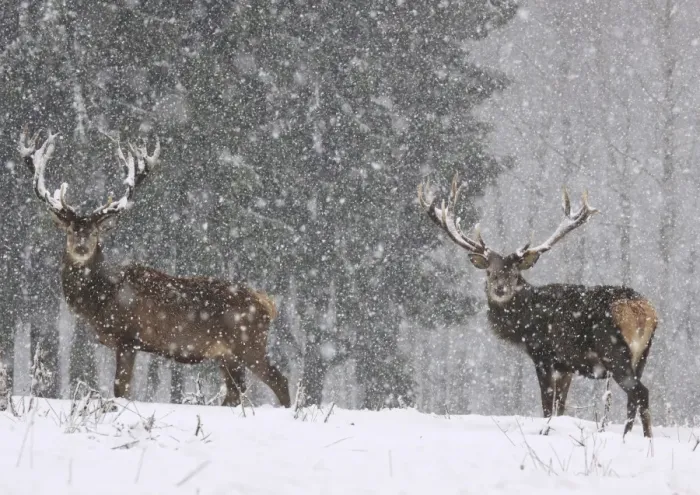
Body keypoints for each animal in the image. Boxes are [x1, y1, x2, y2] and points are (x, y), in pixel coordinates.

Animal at [18, 128, 291, 408]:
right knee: (235, 392)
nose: (81, 248)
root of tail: (267, 303)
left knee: (279, 381)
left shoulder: (128, 337)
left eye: (95, 232)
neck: (102, 298)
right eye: (71, 231)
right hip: (226, 354)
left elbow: (121, 388)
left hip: (249, 343)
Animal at [418, 174, 657, 437]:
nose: (500, 289)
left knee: (640, 392)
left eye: (514, 273)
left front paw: (545, 432)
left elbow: (547, 405)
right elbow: (560, 406)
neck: (524, 323)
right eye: (489, 272)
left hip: (613, 350)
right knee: (635, 398)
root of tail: (643, 310)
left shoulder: (543, 353)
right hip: (642, 355)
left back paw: (632, 439)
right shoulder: (566, 366)